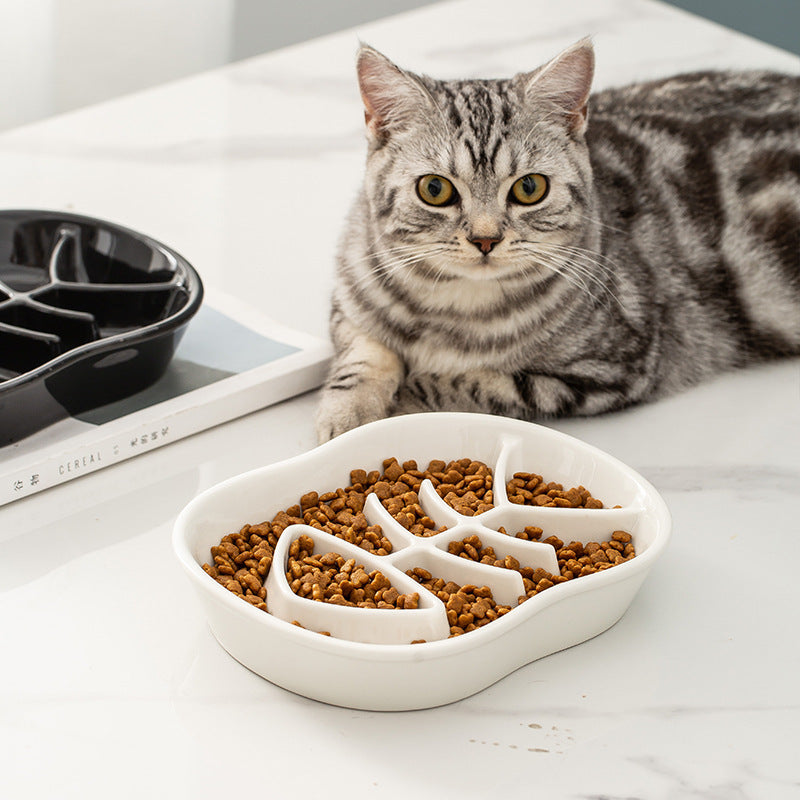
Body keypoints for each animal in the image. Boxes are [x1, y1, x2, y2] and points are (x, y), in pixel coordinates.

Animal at [314, 39, 800, 444]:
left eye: (530, 188)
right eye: (435, 189)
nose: (485, 239)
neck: (451, 310)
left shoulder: (610, 368)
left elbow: (475, 382)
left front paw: (404, 404)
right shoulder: (351, 295)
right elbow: (362, 357)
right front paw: (347, 413)